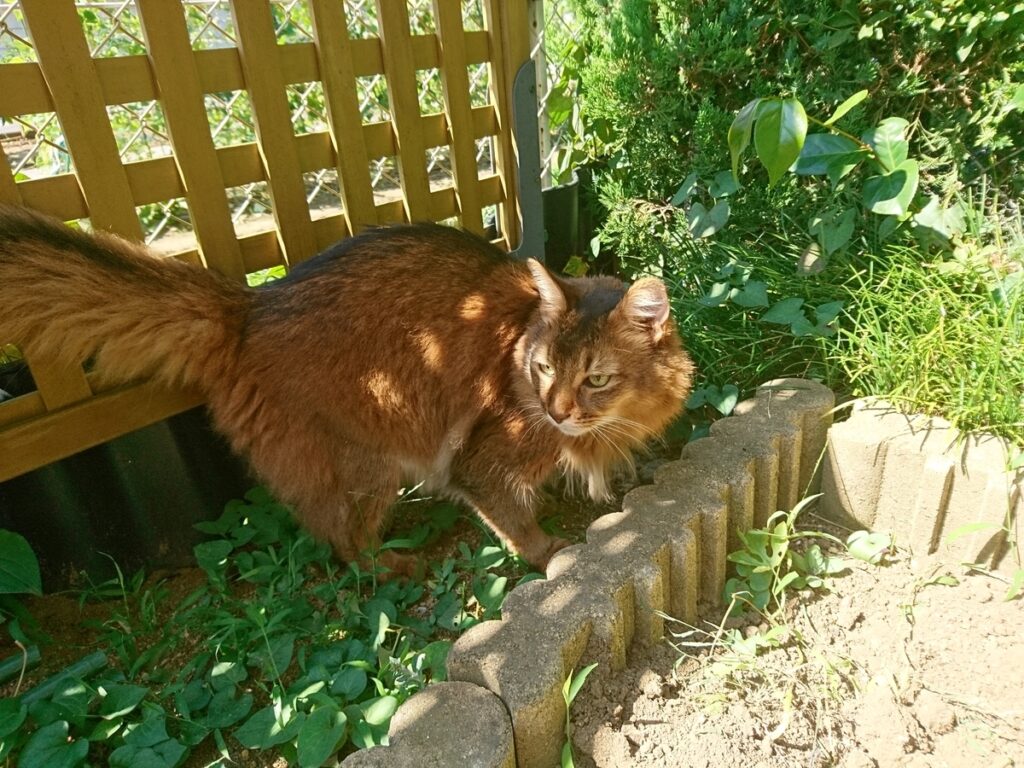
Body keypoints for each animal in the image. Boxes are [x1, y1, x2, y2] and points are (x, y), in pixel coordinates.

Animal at [0, 205, 696, 577]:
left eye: (595, 378)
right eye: (545, 370)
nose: (556, 410)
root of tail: (248, 308)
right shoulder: (482, 462)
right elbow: (513, 519)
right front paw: (550, 552)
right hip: (368, 459)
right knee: (343, 543)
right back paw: (392, 566)